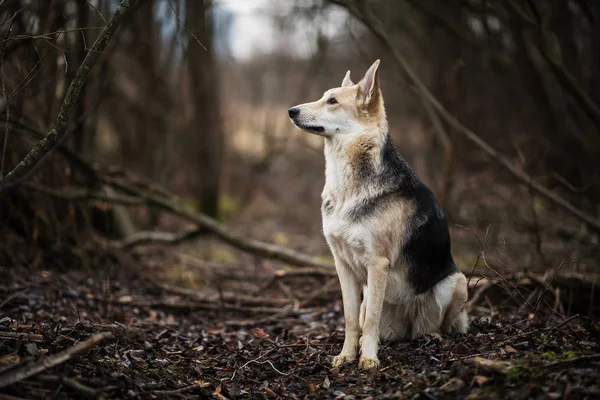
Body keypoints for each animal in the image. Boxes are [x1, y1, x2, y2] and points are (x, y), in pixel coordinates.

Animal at [290, 58, 468, 368]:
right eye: (324, 97)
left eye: (332, 101)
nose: (291, 111)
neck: (347, 185)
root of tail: (409, 322)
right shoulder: (342, 265)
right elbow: (351, 320)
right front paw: (347, 355)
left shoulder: (377, 263)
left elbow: (371, 320)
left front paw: (369, 358)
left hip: (457, 282)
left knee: (440, 325)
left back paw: (431, 335)